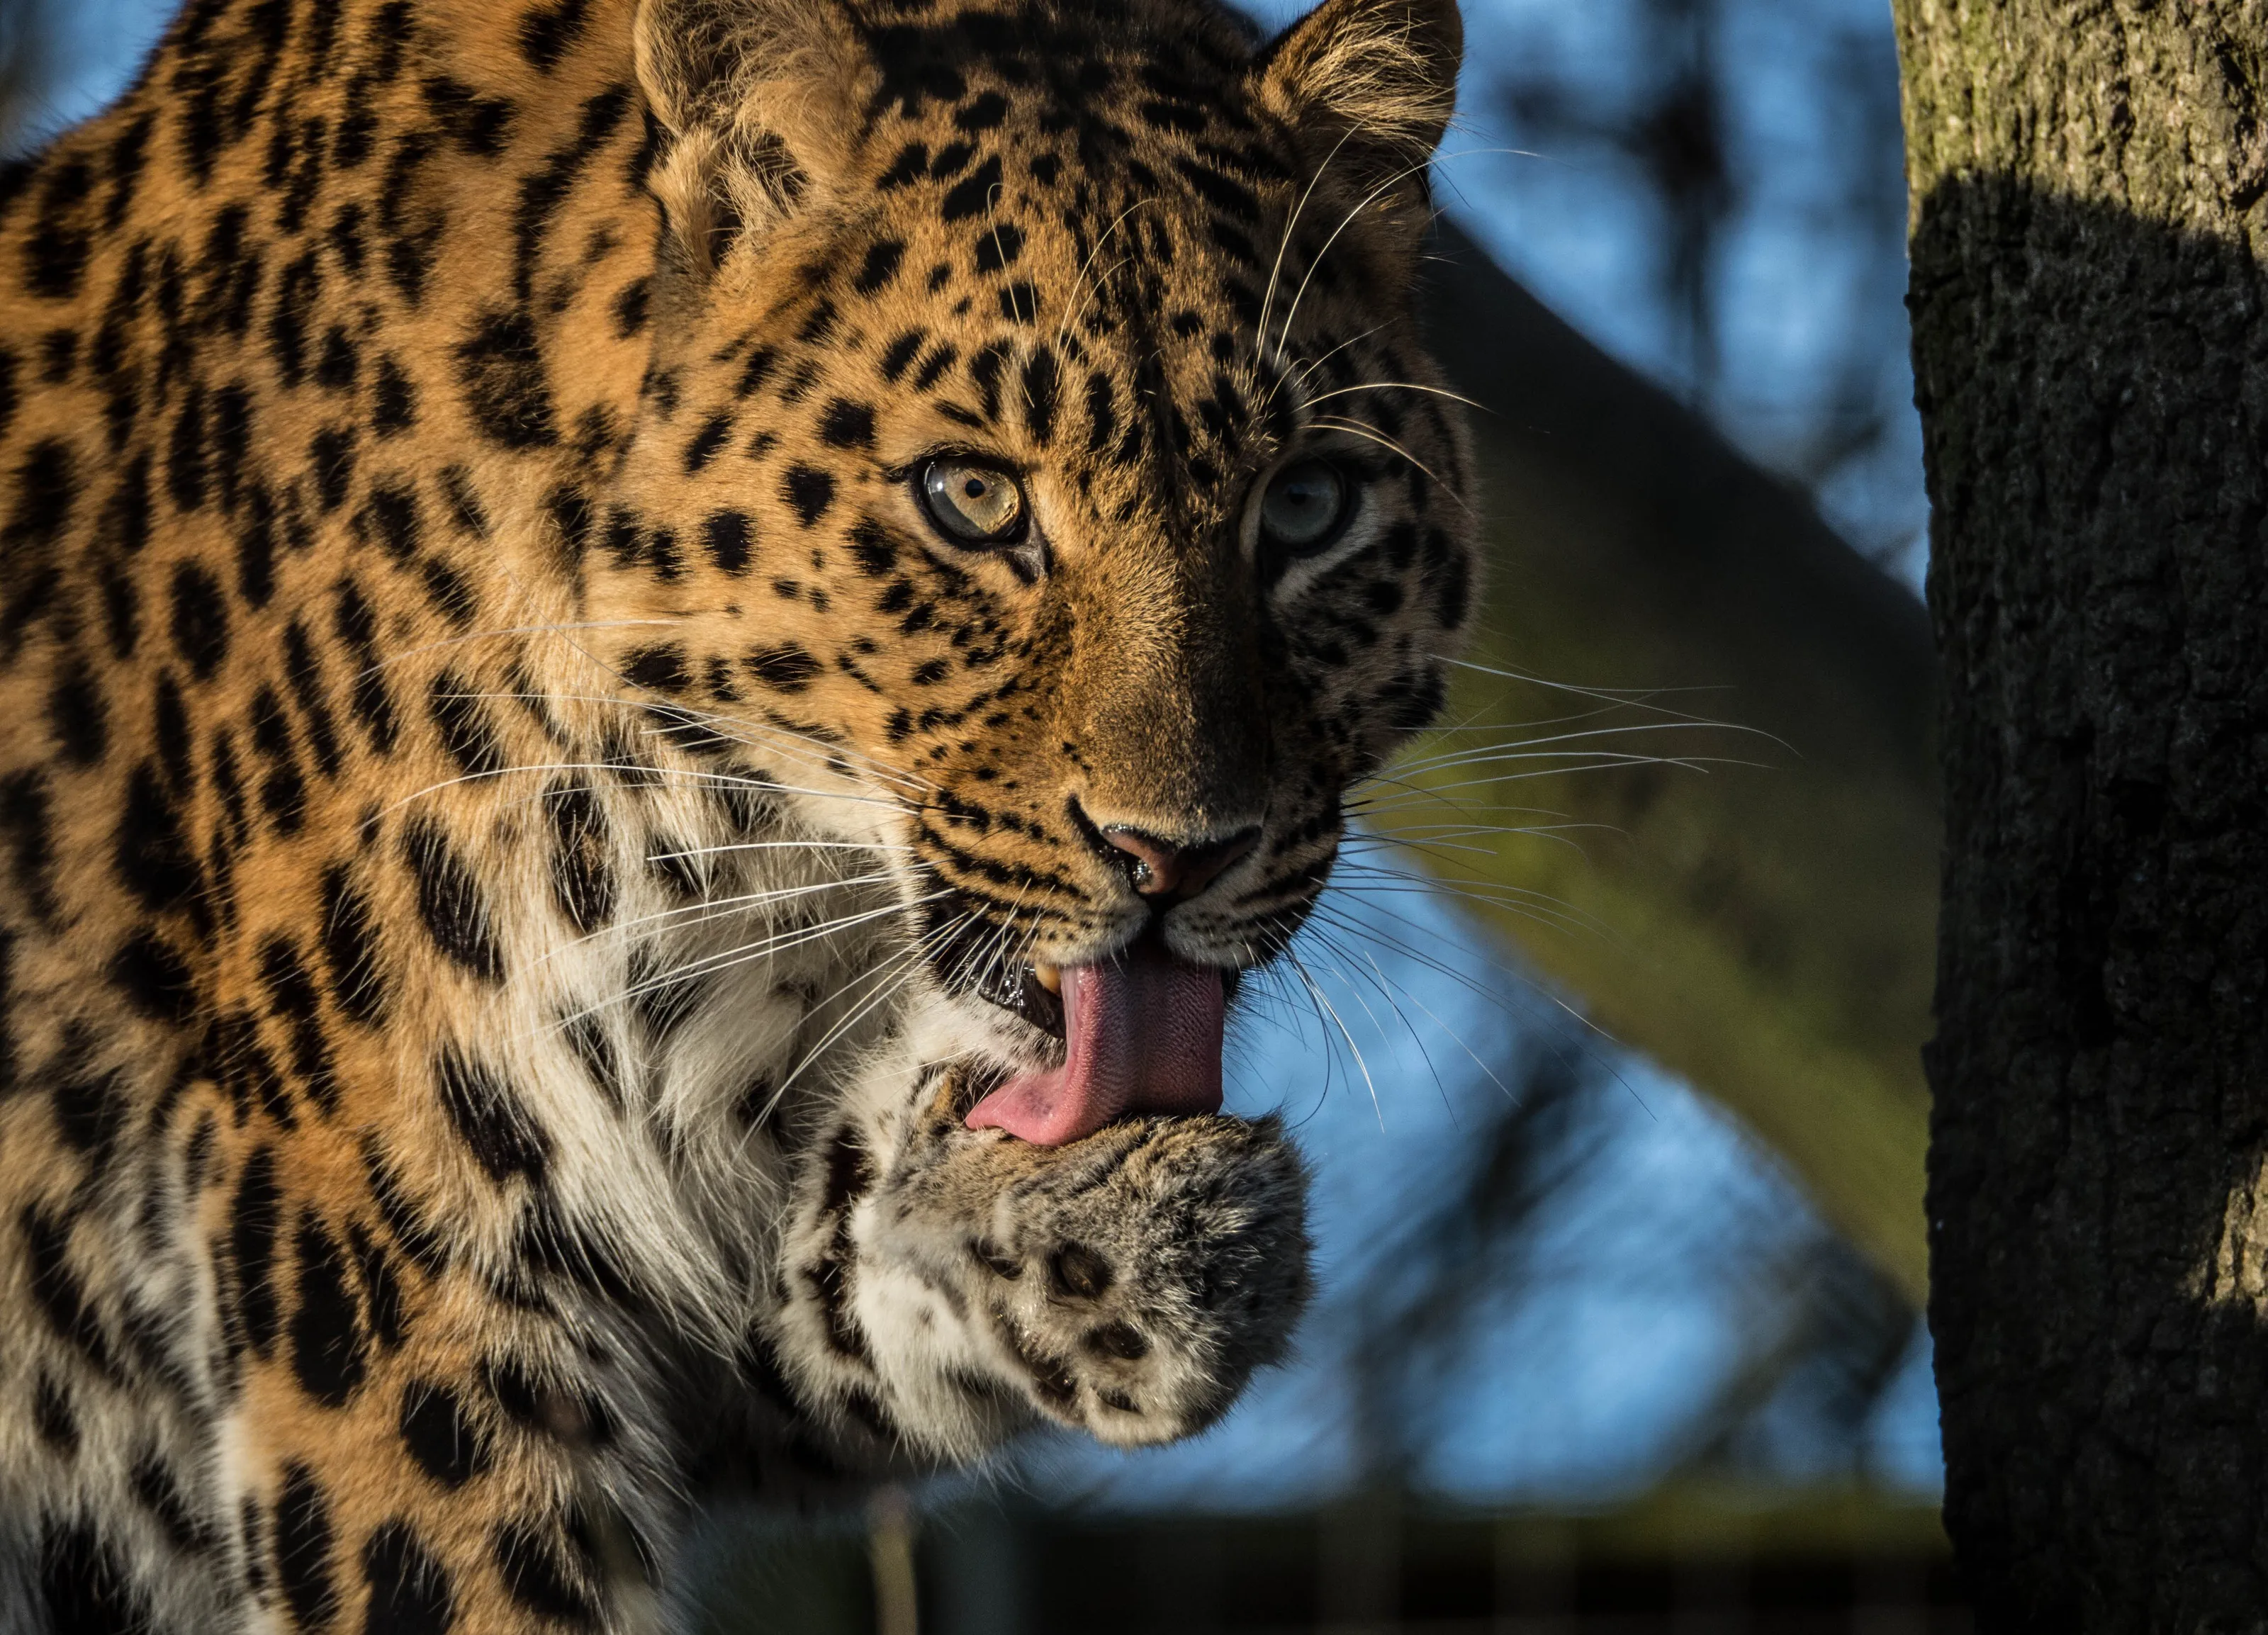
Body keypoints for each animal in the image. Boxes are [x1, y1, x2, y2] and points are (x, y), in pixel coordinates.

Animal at [0, 0, 1475, 1626]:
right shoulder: (393, 1252)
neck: (741, 842)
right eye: (969, 498)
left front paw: (1130, 1232)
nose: (1176, 855)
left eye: (1309, 507)